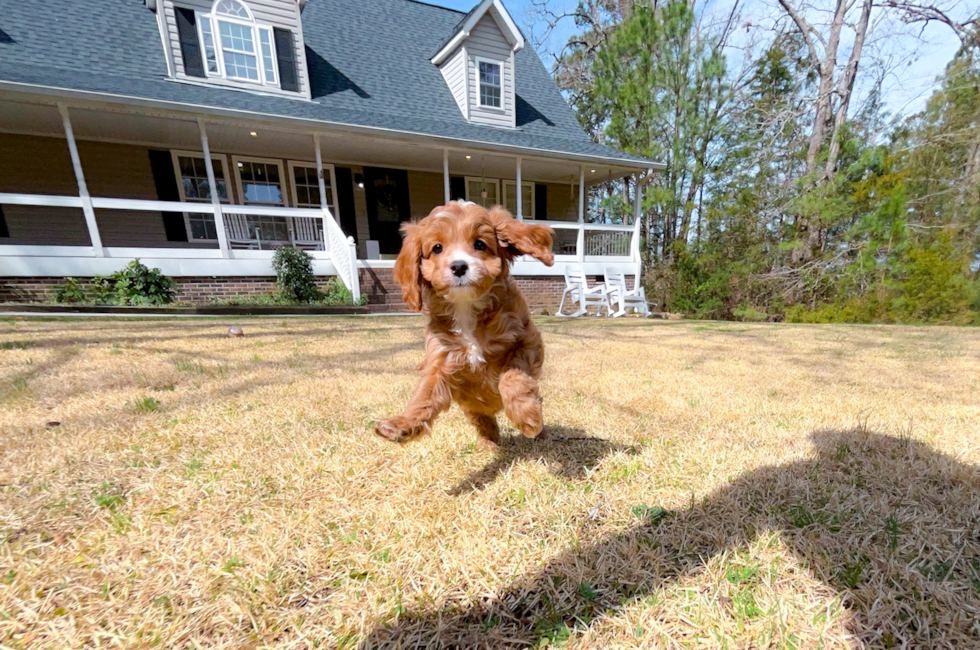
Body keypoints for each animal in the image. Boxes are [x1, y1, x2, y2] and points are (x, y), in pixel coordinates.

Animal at [376, 200, 556, 448]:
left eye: (480, 244)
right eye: (437, 248)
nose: (459, 266)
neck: (466, 308)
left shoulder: (527, 341)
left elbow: (513, 377)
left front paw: (526, 416)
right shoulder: (440, 358)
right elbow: (424, 395)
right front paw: (401, 424)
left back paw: (541, 433)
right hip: (472, 409)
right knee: (482, 418)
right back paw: (487, 441)